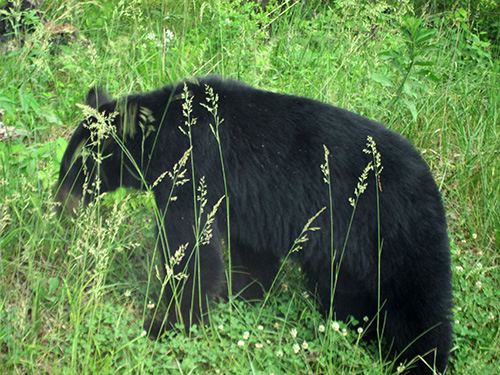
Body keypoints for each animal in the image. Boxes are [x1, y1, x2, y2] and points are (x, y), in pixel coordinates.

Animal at [55, 75, 454, 374]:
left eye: (77, 167)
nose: (58, 207)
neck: (163, 132)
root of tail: (431, 180)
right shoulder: (246, 204)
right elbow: (251, 255)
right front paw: (240, 297)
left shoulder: (194, 169)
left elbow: (193, 250)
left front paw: (165, 325)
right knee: (347, 293)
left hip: (395, 229)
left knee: (420, 302)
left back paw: (420, 361)